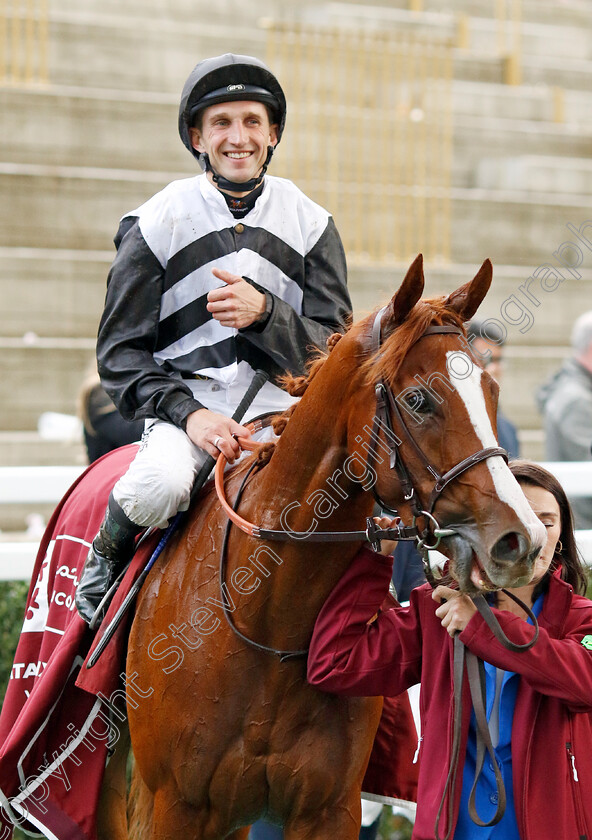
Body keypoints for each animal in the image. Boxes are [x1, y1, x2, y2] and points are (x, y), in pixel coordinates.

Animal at [104, 256, 544, 840]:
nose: (521, 540)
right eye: (418, 400)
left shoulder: (329, 808)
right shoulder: (175, 804)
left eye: (490, 391)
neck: (269, 620)